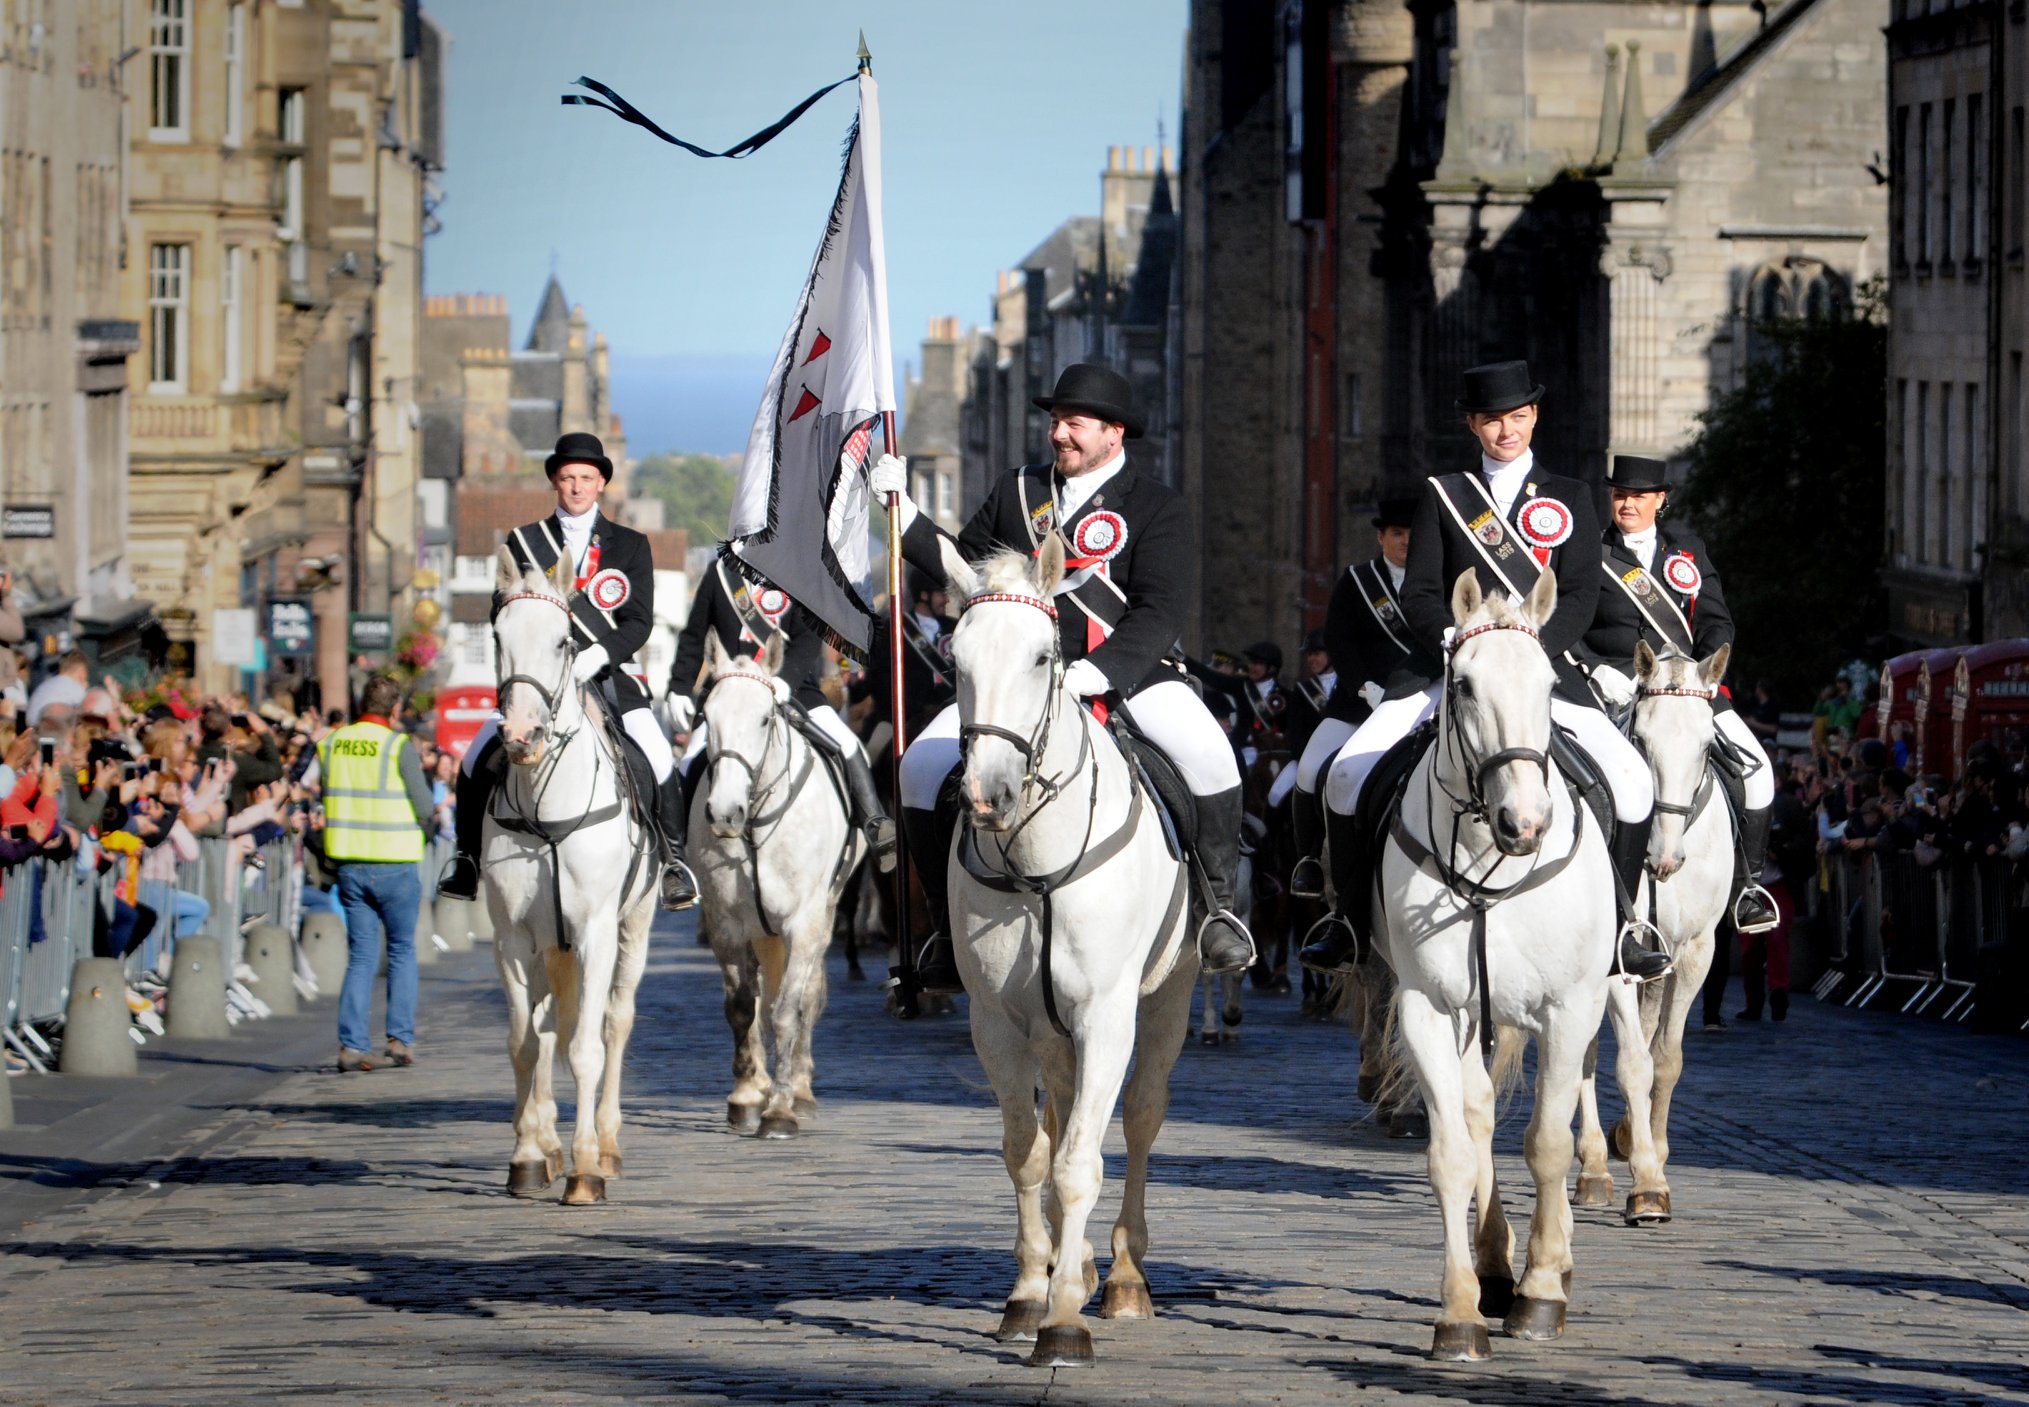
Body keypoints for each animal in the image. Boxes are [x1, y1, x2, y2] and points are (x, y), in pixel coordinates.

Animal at [484, 544, 657, 1201]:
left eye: (564, 641)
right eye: (497, 636)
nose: (521, 735)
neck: (544, 804)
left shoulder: (596, 932)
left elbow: (587, 1047)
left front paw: (585, 1171)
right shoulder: (513, 939)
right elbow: (524, 1044)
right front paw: (528, 1157)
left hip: (634, 928)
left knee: (614, 1023)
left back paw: (603, 1146)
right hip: (545, 950)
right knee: (548, 1027)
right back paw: (548, 1143)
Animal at [693, 629, 860, 1136]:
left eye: (765, 718)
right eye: (707, 717)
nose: (724, 813)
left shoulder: (804, 923)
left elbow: (789, 1010)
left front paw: (781, 1109)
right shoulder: (725, 924)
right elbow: (741, 1007)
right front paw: (747, 1097)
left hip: (823, 915)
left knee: (802, 998)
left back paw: (799, 1091)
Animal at [937, 536, 1193, 1364]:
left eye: (1044, 656)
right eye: (955, 657)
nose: (985, 795)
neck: (1032, 861)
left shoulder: (1106, 1015)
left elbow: (1081, 1158)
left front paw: (1062, 1323)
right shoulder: (995, 1022)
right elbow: (1029, 1150)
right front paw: (1028, 1293)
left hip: (1170, 994)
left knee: (1140, 1115)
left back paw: (1121, 1277)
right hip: (1049, 1029)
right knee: (1060, 1114)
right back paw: (1070, 1264)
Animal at [1371, 572, 1623, 1364]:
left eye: (1548, 684)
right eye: (1464, 685)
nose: (1527, 823)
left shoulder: (1569, 1006)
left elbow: (1546, 1142)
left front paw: (1541, 1292)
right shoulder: (1428, 1007)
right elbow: (1452, 1151)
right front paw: (1460, 1310)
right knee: (1479, 1113)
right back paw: (1490, 1265)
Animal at [1566, 637, 1728, 1218]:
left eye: (1706, 746)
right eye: (1641, 740)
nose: (1664, 858)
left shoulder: (1695, 952)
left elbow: (1667, 1059)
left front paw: (1651, 1150)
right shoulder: (1616, 954)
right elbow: (1633, 1062)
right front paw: (1646, 1184)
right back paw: (1593, 1165)